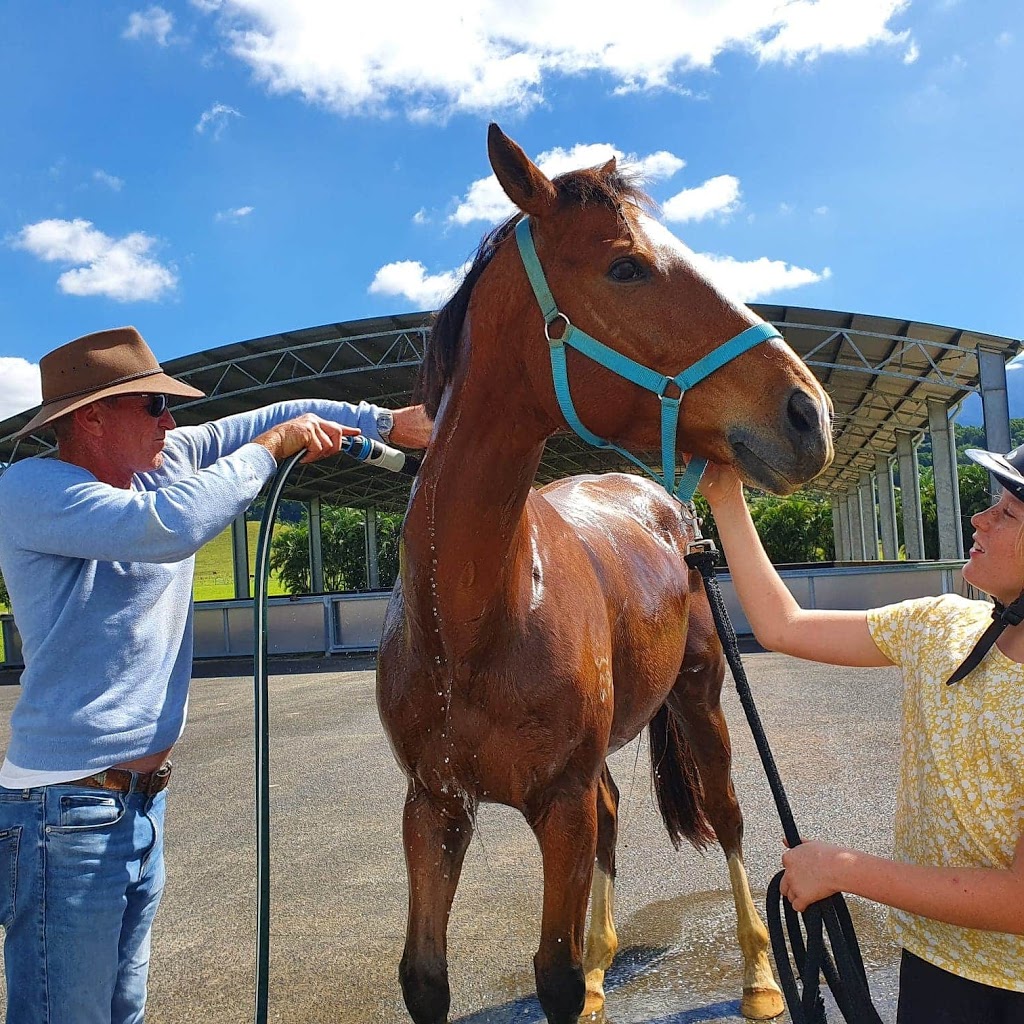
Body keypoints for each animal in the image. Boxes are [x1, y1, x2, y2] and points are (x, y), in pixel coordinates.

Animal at [376, 121, 831, 1024]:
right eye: (626, 266)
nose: (810, 412)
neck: (472, 617)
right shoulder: (434, 806)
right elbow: (425, 978)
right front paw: (583, 973)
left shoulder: (560, 802)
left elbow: (548, 973)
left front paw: (578, 976)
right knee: (619, 816)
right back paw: (602, 967)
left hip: (701, 699)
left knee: (728, 815)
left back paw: (760, 978)